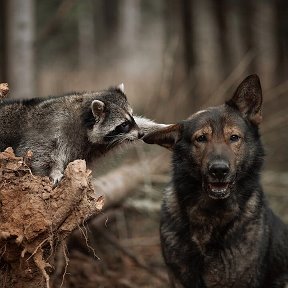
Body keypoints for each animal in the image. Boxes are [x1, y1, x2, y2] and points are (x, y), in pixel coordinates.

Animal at [0, 85, 161, 183]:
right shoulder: (50, 130)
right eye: (124, 125)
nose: (140, 134)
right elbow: (38, 154)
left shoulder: (95, 145)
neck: (82, 120)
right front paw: (54, 171)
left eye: (132, 117)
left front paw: (156, 127)